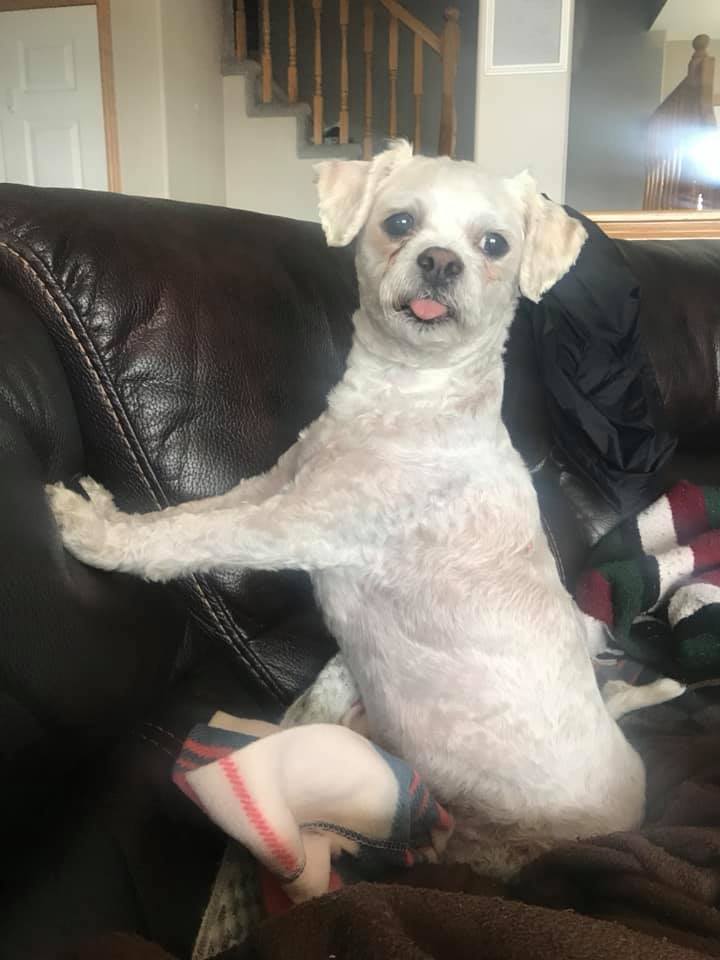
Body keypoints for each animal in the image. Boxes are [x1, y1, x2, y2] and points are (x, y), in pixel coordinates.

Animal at [47, 142, 684, 876]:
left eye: (494, 244)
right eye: (399, 222)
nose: (439, 262)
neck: (409, 395)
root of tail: (631, 809)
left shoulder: (298, 524)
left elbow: (198, 537)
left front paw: (93, 534)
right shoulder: (278, 483)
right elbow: (190, 516)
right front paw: (111, 511)